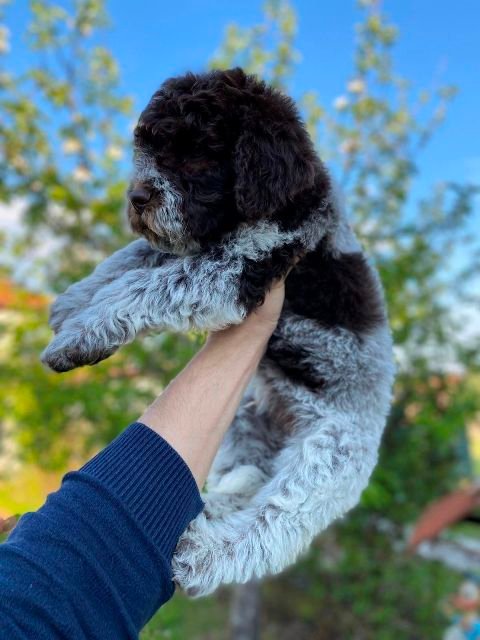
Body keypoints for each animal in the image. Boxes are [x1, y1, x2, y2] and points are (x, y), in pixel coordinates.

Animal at [42, 67, 394, 596]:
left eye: (197, 154)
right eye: (151, 148)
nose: (137, 198)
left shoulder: (241, 265)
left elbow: (151, 284)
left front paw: (79, 335)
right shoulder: (197, 245)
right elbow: (131, 258)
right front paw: (72, 303)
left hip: (327, 457)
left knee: (274, 522)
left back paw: (202, 555)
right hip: (246, 425)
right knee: (247, 483)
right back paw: (217, 506)